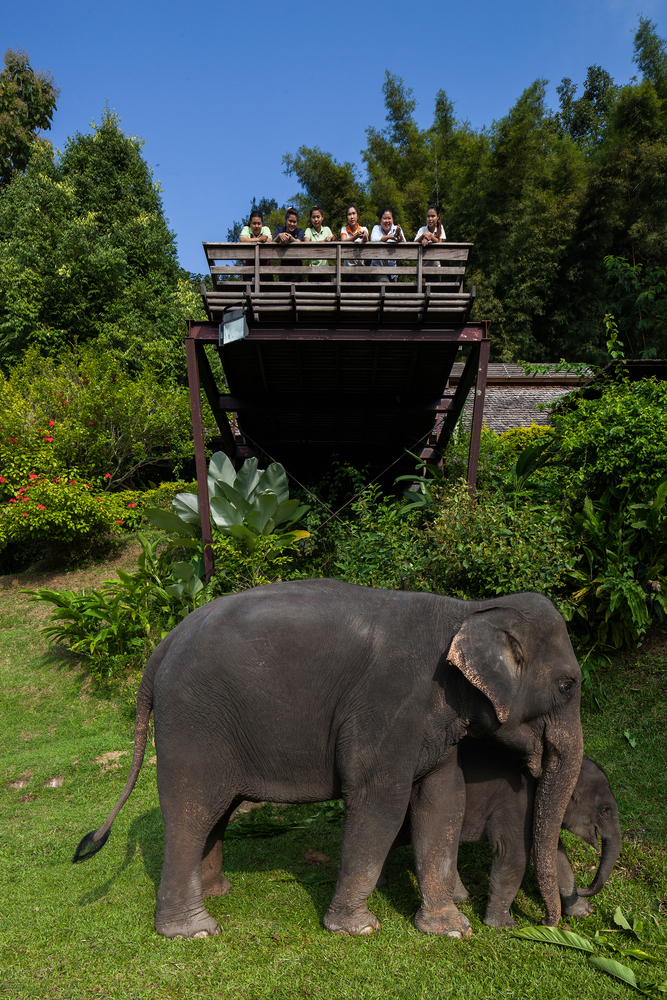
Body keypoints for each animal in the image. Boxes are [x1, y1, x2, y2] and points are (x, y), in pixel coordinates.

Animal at [74, 580, 584, 936]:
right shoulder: (391, 705)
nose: (549, 924)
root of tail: (166, 641)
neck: (469, 609)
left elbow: (444, 802)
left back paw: (219, 891)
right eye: (567, 686)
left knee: (219, 811)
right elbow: (381, 803)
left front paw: (450, 929)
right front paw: (357, 928)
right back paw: (193, 931)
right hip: (193, 721)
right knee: (192, 810)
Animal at [384, 736, 624, 928]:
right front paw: (503, 926)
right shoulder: (518, 808)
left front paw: (583, 912)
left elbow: (557, 857)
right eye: (606, 810)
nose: (544, 920)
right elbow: (514, 856)